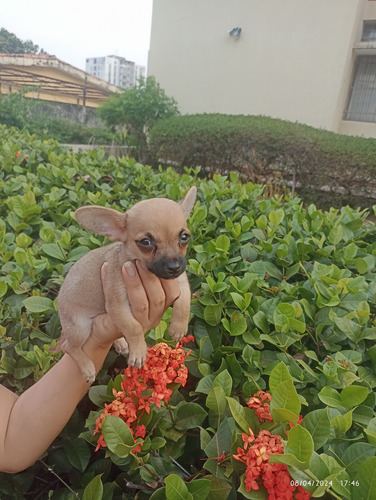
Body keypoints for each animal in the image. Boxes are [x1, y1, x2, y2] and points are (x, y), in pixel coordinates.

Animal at [55, 188, 198, 382]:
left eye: (184, 237)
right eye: (145, 242)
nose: (174, 266)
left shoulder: (181, 282)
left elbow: (184, 303)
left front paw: (178, 327)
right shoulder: (118, 306)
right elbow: (133, 327)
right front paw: (138, 352)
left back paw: (120, 343)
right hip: (80, 328)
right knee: (68, 347)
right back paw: (87, 367)